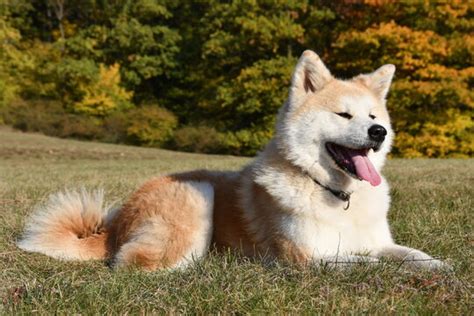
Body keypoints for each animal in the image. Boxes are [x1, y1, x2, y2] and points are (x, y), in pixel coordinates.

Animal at [18, 50, 448, 270]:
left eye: (374, 116)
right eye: (344, 115)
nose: (379, 133)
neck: (334, 194)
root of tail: (114, 227)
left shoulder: (377, 242)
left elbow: (412, 256)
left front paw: (441, 268)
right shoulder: (305, 259)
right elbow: (367, 265)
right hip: (198, 193)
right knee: (139, 263)